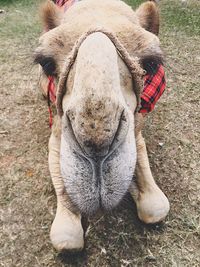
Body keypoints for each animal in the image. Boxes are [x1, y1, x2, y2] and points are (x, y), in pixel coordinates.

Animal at [34, 0, 169, 252]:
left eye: (151, 63)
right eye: (47, 63)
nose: (95, 138)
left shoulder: (137, 131)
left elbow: (157, 208)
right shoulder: (56, 136)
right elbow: (66, 238)